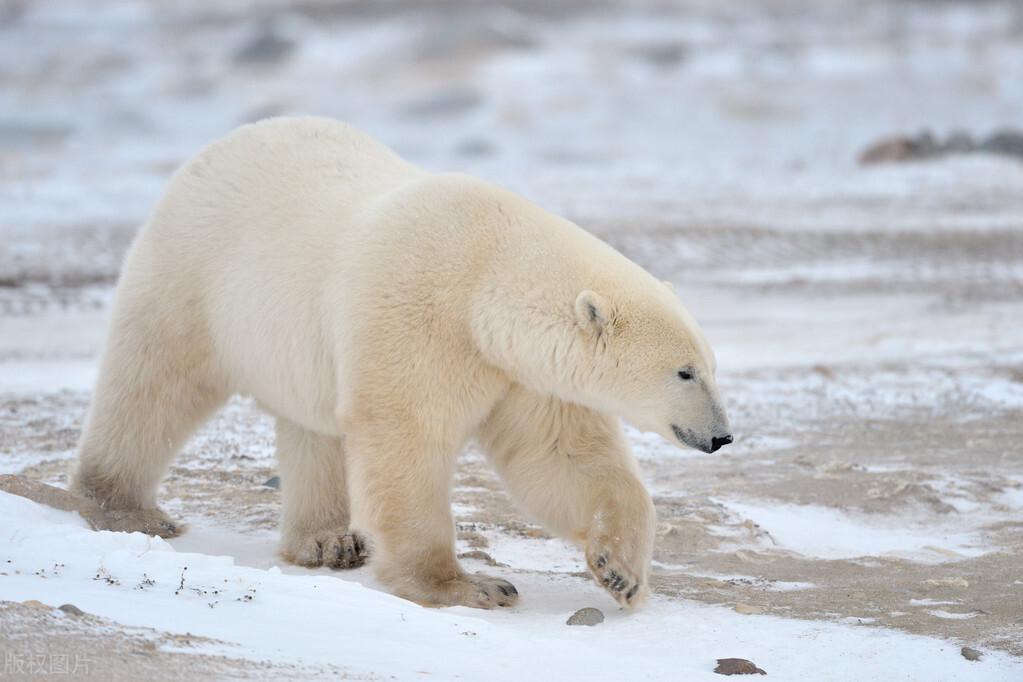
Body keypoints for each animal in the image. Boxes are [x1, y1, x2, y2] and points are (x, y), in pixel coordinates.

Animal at [74, 116, 728, 609]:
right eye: (685, 371)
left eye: (709, 365)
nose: (722, 436)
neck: (485, 279)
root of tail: (218, 146)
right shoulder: (418, 314)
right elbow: (405, 442)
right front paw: (471, 586)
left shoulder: (521, 374)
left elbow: (562, 457)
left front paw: (621, 572)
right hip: (192, 273)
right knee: (152, 383)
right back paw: (123, 504)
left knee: (312, 427)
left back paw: (327, 541)